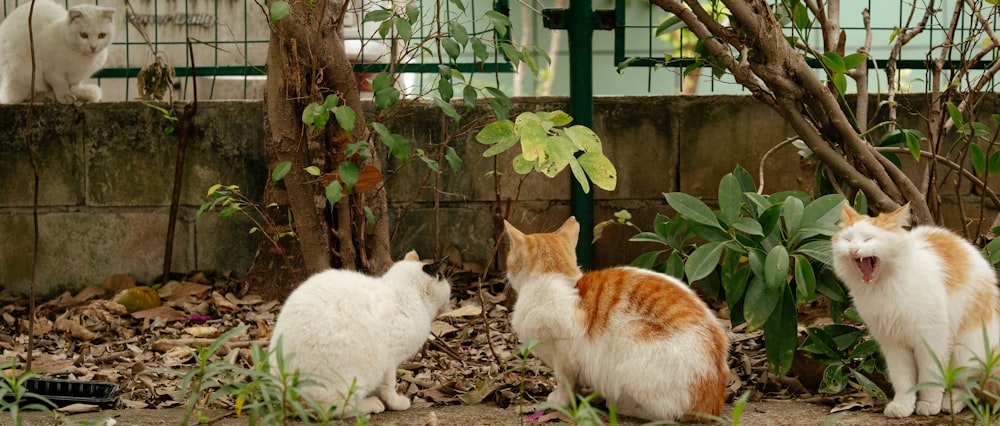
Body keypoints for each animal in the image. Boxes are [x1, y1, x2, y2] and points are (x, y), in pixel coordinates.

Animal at [268, 251, 452, 418]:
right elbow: (389, 387)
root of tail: (289, 395)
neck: (406, 293)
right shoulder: (390, 362)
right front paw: (397, 403)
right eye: (442, 277)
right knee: (333, 409)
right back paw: (370, 405)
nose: (450, 296)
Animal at [508, 216, 728, 420]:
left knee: (665, 414)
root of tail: (712, 402)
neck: (554, 278)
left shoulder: (563, 355)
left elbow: (565, 382)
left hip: (632, 333)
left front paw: (560, 401)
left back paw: (618, 405)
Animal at [828, 204, 1000, 420]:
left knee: (969, 385)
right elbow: (902, 378)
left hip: (965, 349)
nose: (853, 249)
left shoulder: (931, 337)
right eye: (848, 240)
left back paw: (950, 402)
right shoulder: (892, 343)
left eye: (869, 239)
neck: (883, 287)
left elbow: (930, 374)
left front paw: (928, 403)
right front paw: (903, 405)